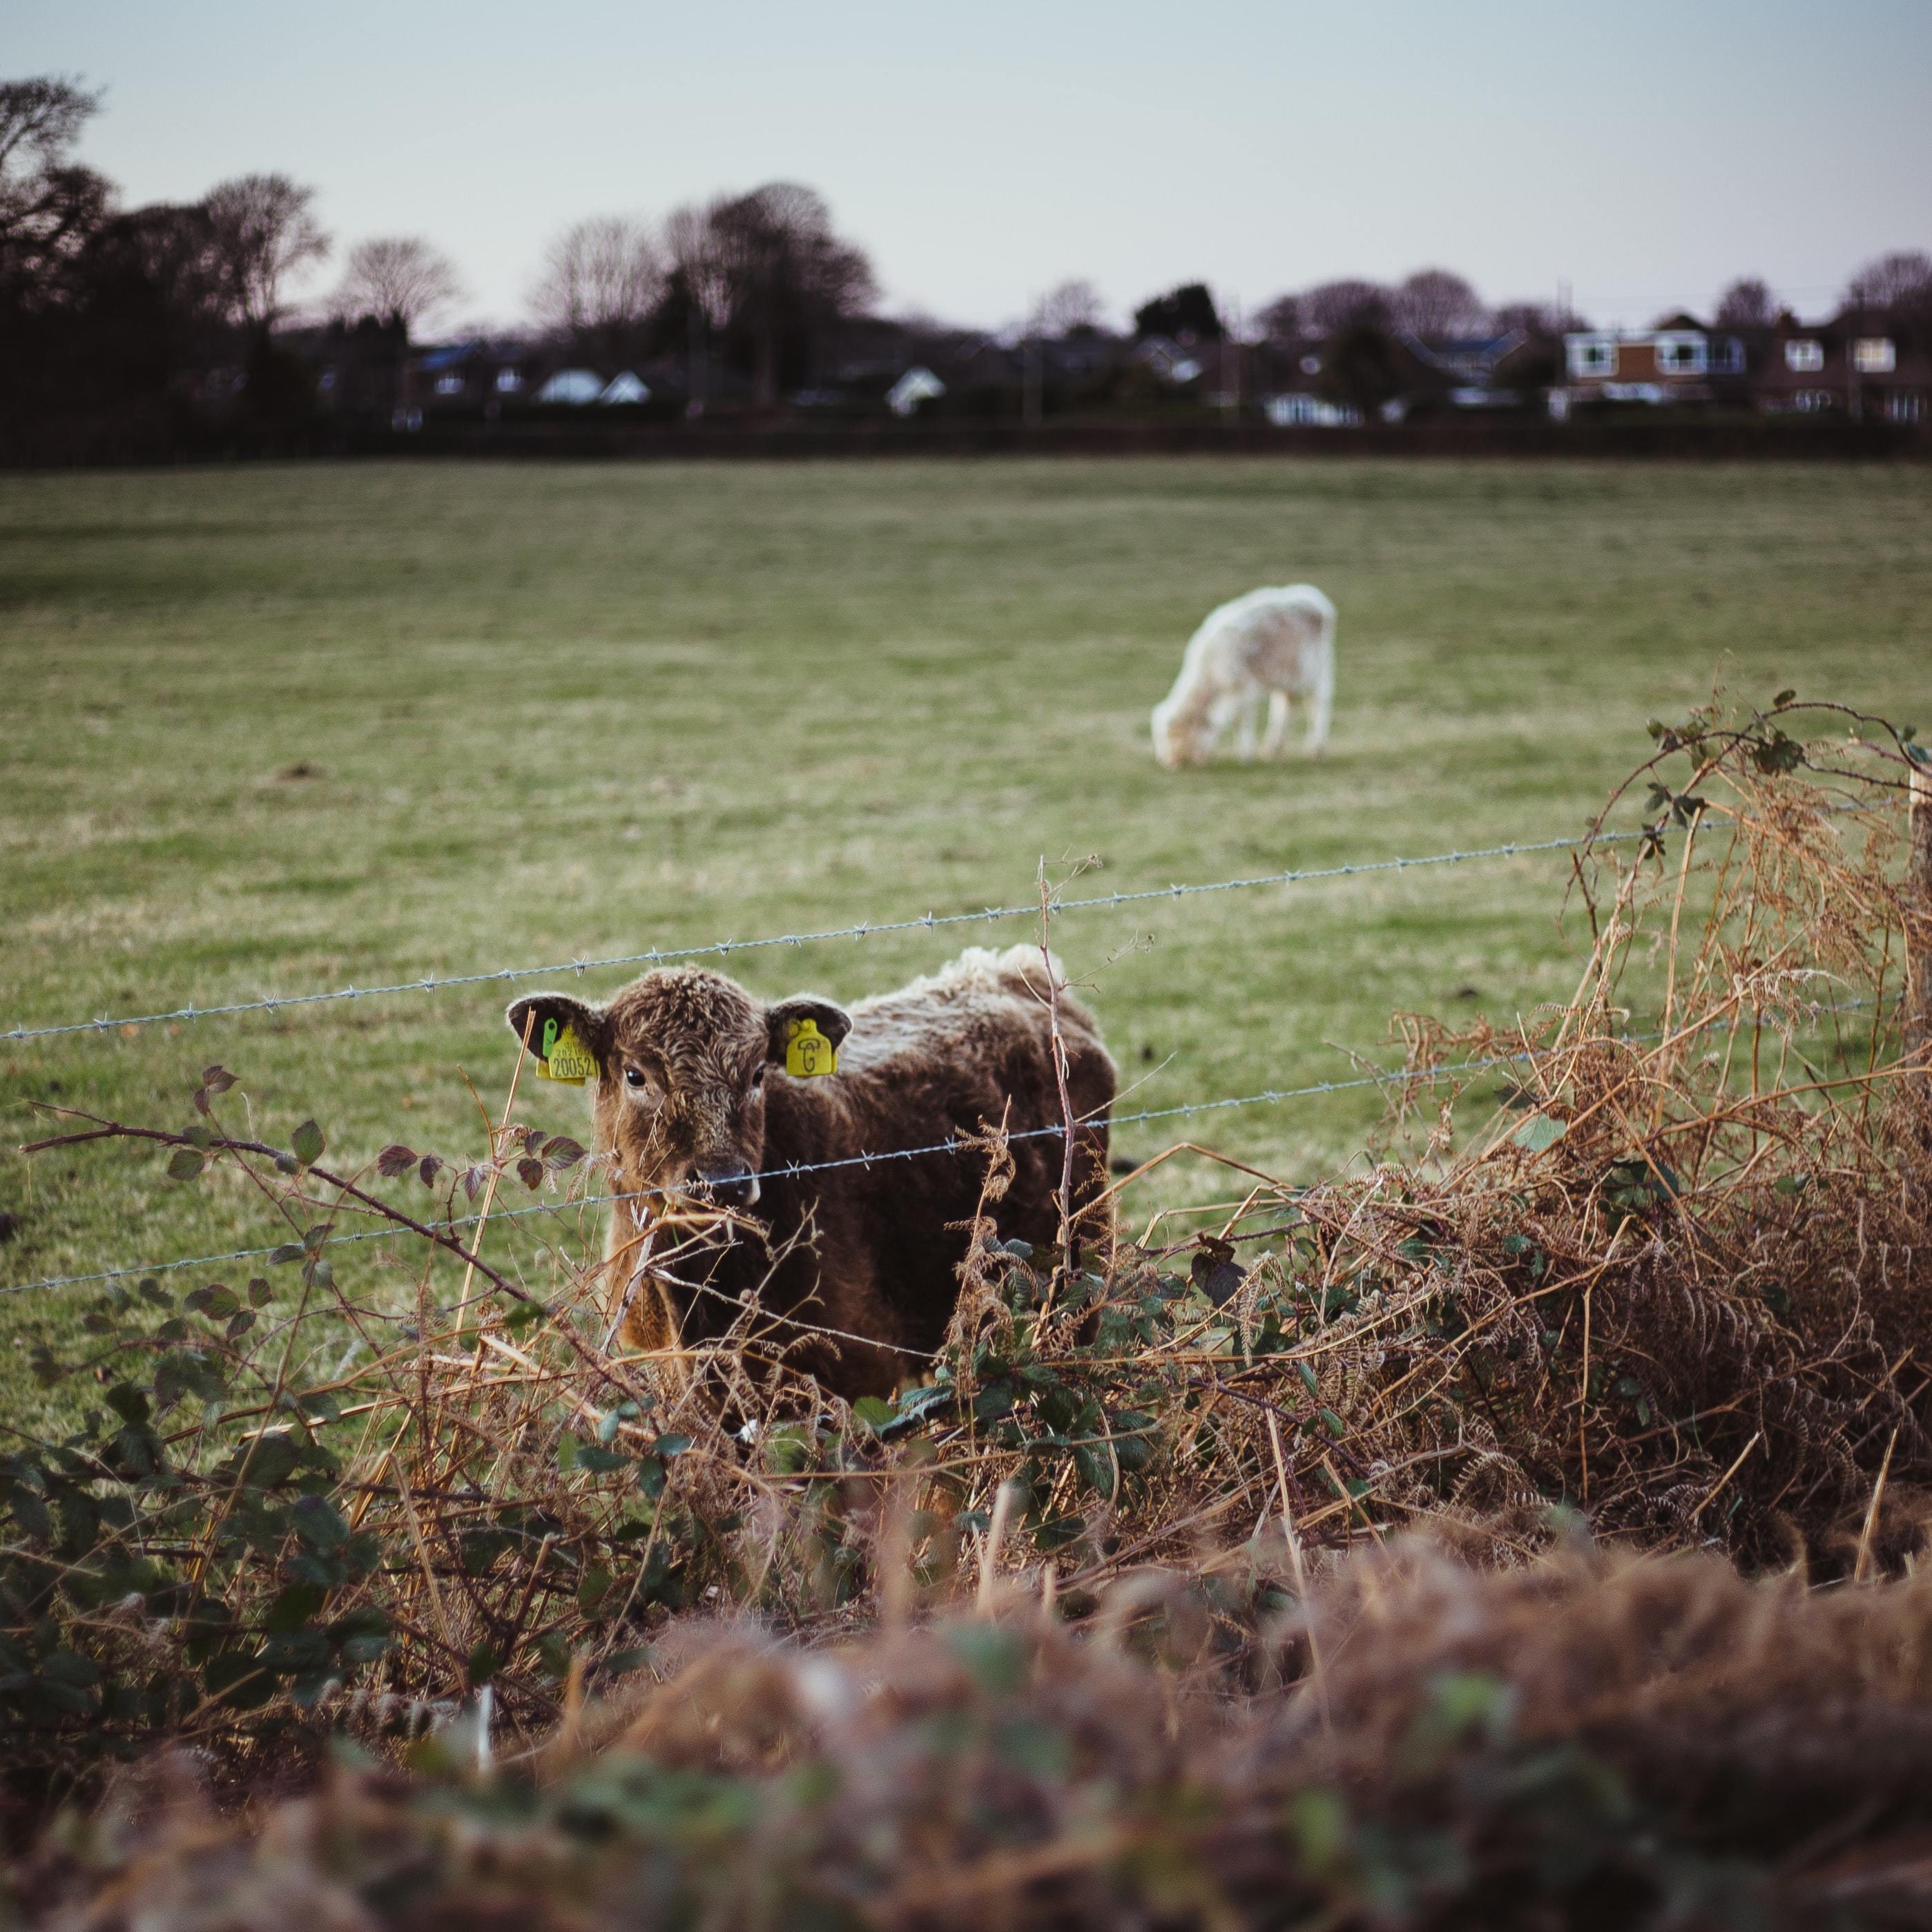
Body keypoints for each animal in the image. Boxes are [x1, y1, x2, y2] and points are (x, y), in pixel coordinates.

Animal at [510, 943, 1120, 1398]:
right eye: (636, 1075)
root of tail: (1008, 974)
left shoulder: (857, 1373)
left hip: (1077, 1279)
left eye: (758, 1073)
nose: (723, 1182)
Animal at [1143, 579, 1329, 769]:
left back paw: (1316, 749)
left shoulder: (1243, 690)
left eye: (1173, 737)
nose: (1168, 762)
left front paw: (1245, 756)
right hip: (1289, 679)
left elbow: (1240, 721)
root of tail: (1312, 596)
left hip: (1315, 673)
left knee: (1317, 705)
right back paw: (1272, 750)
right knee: (1286, 709)